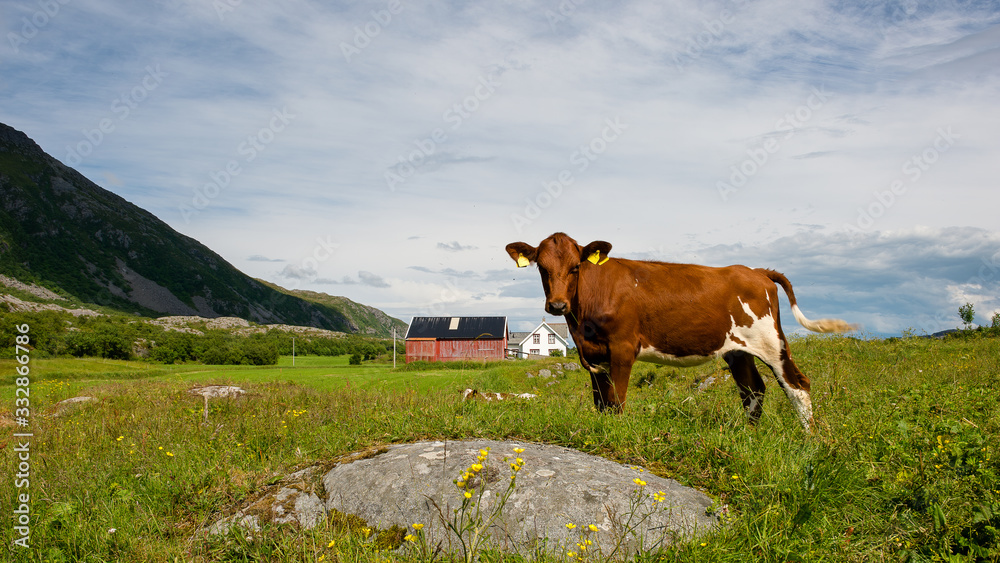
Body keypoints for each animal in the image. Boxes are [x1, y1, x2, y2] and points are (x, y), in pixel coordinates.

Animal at [504, 231, 856, 430]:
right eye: (542, 267)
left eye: (576, 266)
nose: (557, 305)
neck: (582, 320)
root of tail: (756, 271)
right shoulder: (591, 355)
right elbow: (600, 402)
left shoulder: (622, 347)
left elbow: (617, 401)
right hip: (737, 350)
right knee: (753, 390)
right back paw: (748, 437)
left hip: (771, 341)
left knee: (797, 385)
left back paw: (809, 440)